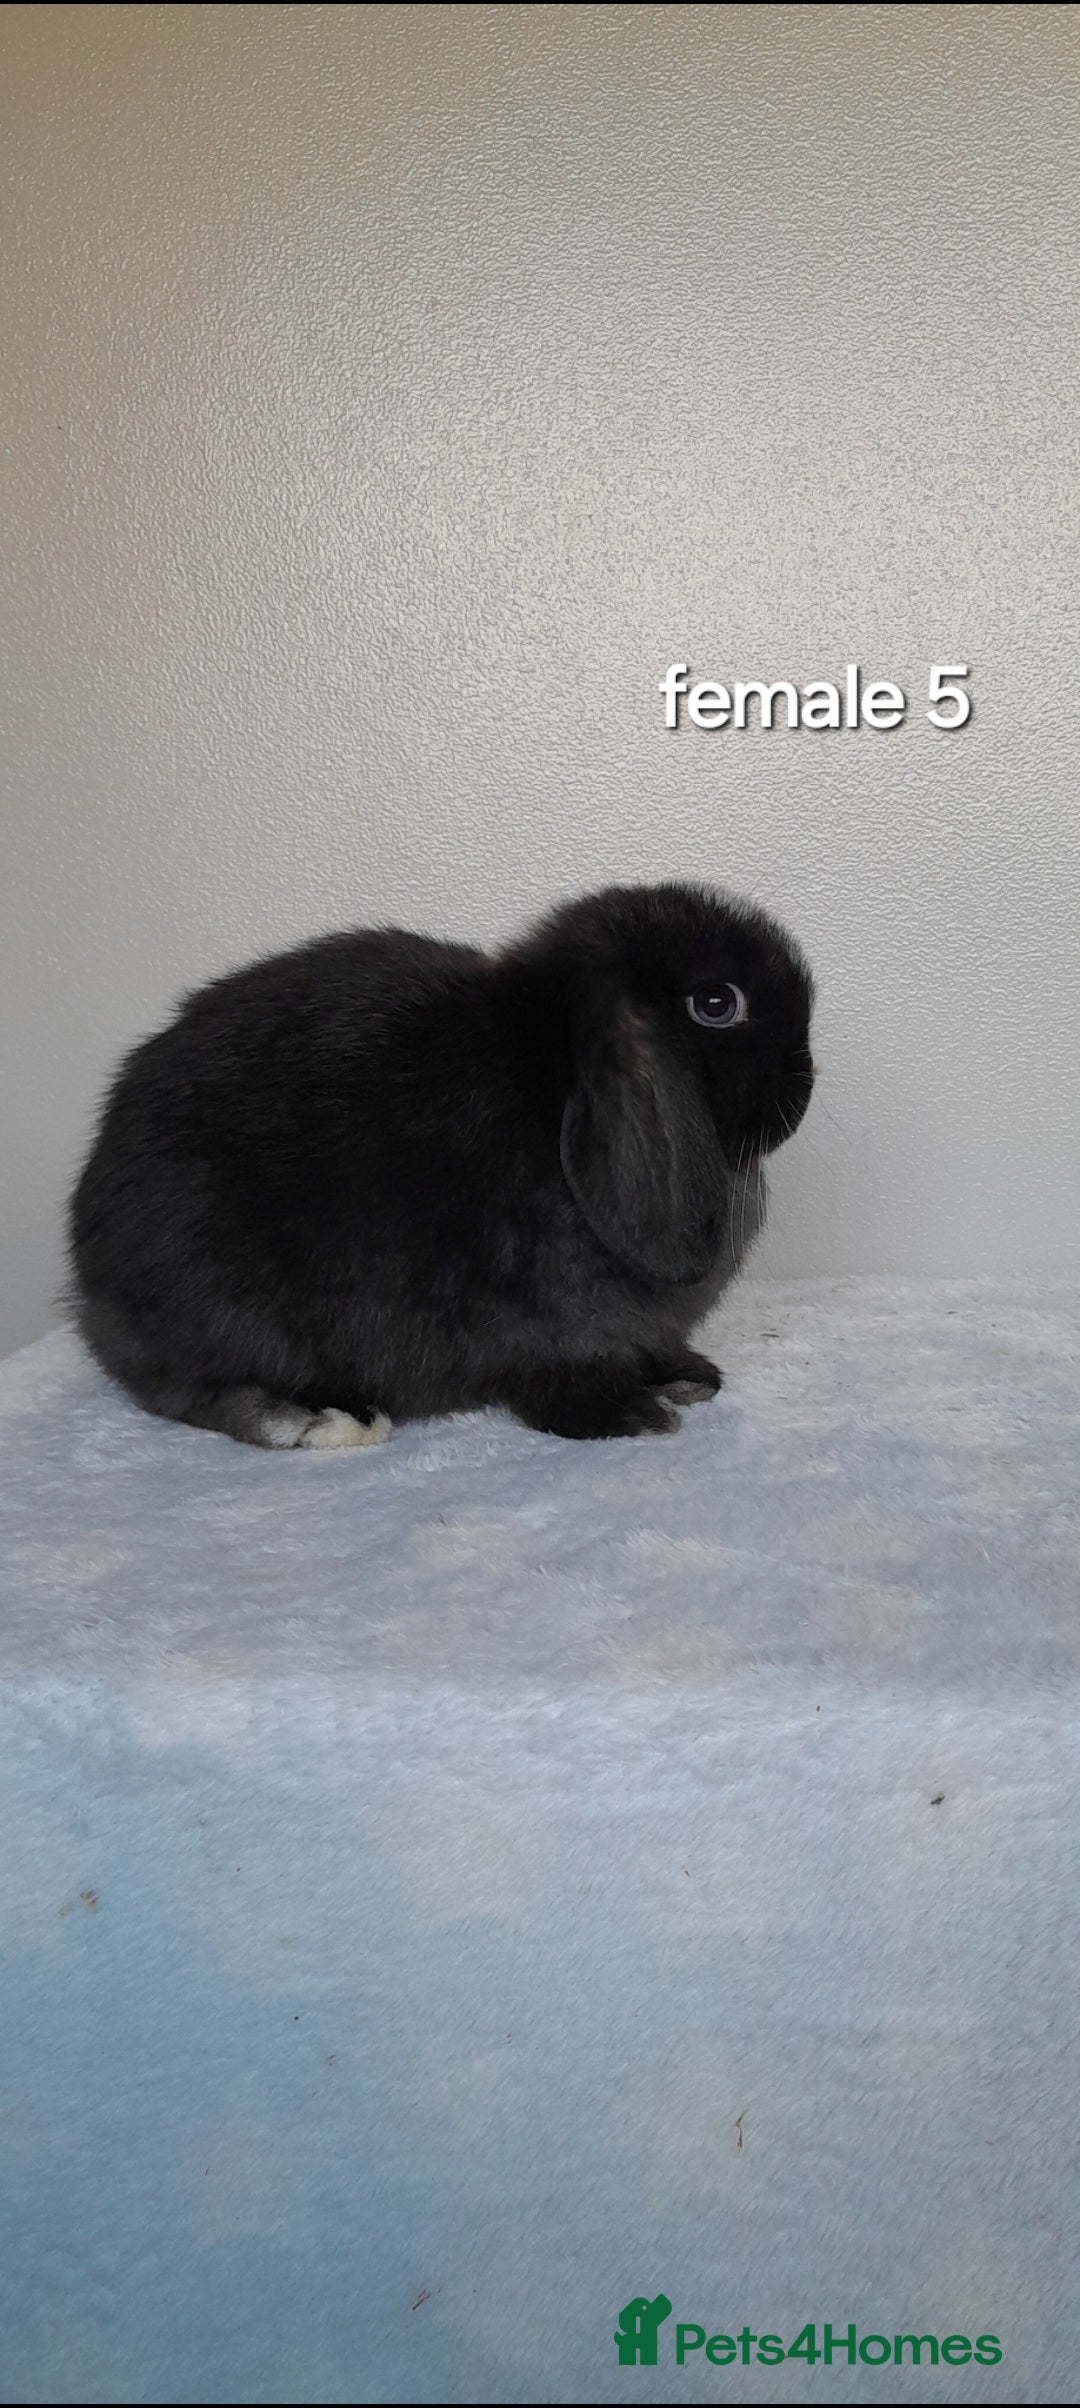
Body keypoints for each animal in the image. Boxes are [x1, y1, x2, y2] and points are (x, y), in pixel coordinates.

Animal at [69, 882, 814, 1447]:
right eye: (716, 1003)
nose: (803, 1086)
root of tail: (91, 1286)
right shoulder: (540, 1332)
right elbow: (561, 1380)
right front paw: (633, 1416)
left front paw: (687, 1376)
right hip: (216, 1302)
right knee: (186, 1391)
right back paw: (310, 1420)